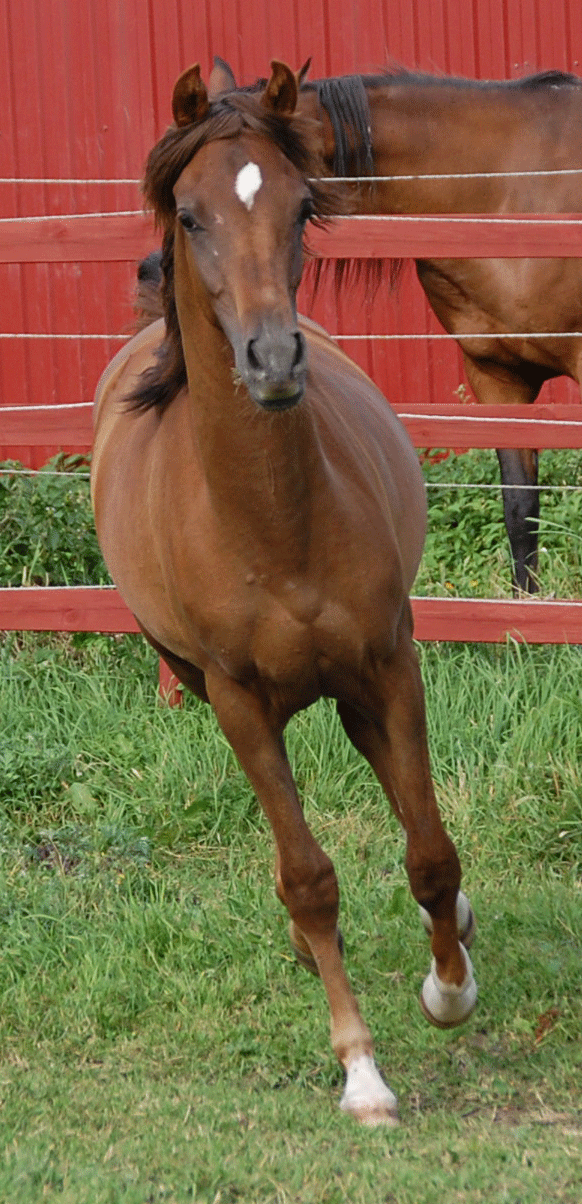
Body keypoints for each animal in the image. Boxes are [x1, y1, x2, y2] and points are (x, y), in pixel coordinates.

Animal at [89, 61, 479, 1122]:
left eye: (303, 206)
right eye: (189, 215)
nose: (271, 360)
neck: (272, 525)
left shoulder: (391, 660)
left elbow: (429, 850)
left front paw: (448, 991)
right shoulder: (233, 698)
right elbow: (309, 876)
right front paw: (363, 1073)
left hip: (361, 682)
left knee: (399, 798)